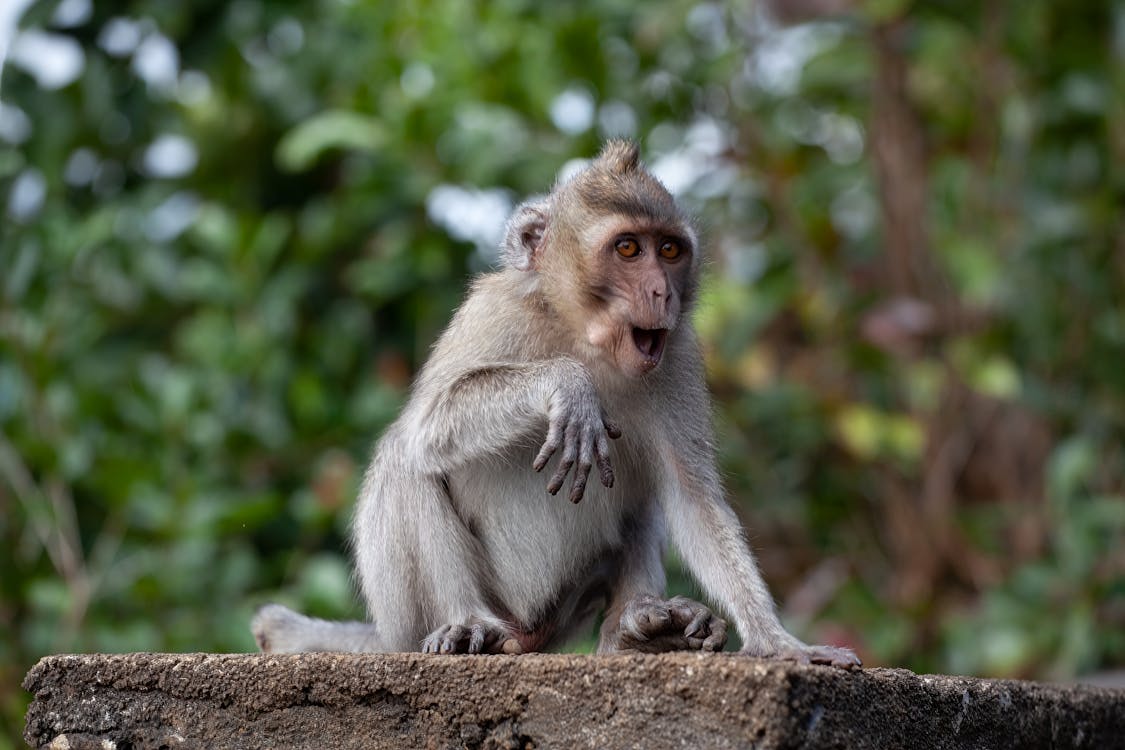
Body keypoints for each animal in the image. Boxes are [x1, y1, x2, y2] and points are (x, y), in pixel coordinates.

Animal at [250, 140, 855, 670]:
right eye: (628, 248)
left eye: (669, 250)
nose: (662, 292)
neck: (579, 333)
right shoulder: (493, 312)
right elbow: (429, 422)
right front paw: (568, 386)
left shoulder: (678, 355)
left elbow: (691, 496)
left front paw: (777, 641)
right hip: (418, 619)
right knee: (406, 456)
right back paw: (467, 623)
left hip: (564, 610)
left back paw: (638, 631)